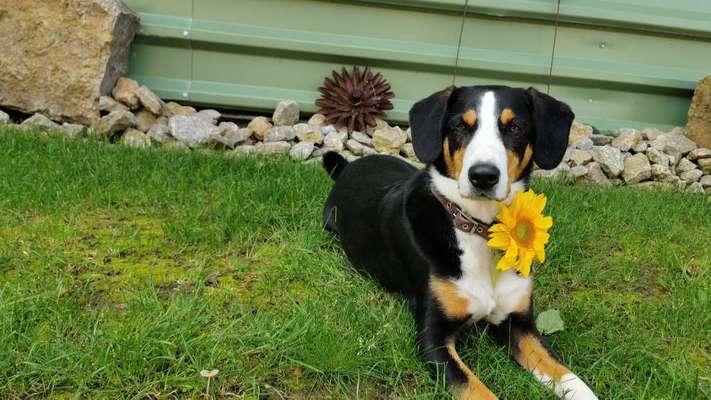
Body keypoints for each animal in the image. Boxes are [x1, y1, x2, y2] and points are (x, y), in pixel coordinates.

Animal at [324, 85, 600, 400]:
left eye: (515, 127)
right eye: (459, 126)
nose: (483, 176)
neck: (481, 228)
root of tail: (349, 166)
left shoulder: (518, 323)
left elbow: (567, 375)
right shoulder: (433, 337)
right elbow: (477, 390)